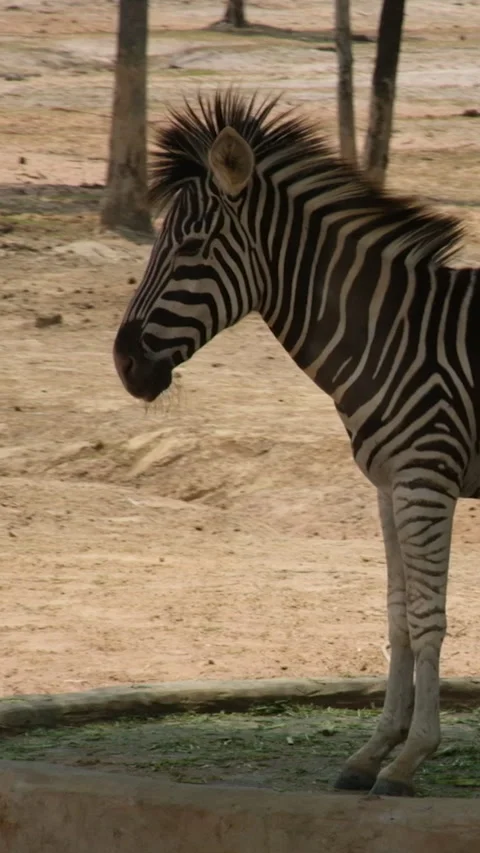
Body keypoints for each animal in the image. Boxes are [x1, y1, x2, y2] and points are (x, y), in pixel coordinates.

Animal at [113, 89, 479, 797]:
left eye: (191, 246)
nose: (124, 365)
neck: (393, 332)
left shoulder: (425, 477)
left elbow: (427, 616)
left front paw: (411, 759)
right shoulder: (390, 484)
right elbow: (397, 613)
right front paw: (373, 751)